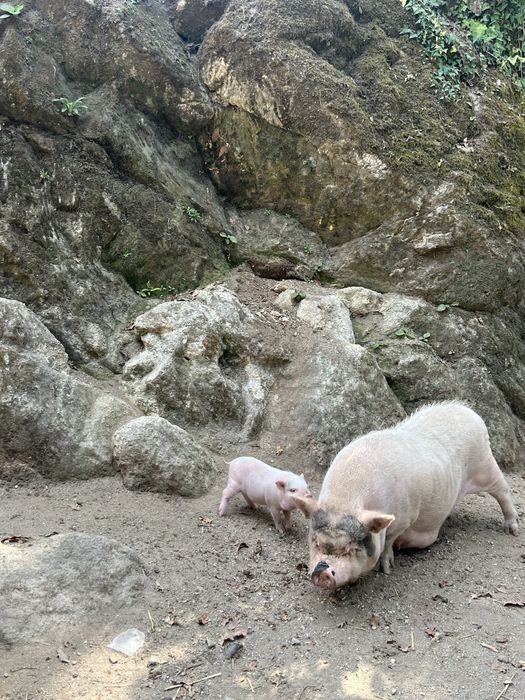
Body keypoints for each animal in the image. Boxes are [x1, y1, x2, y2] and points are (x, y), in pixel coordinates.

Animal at [292, 402, 519, 590]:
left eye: (352, 547)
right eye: (316, 542)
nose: (322, 572)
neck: (345, 501)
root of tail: (470, 412)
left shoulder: (404, 518)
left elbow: (389, 542)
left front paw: (386, 568)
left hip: (485, 465)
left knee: (503, 491)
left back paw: (512, 531)